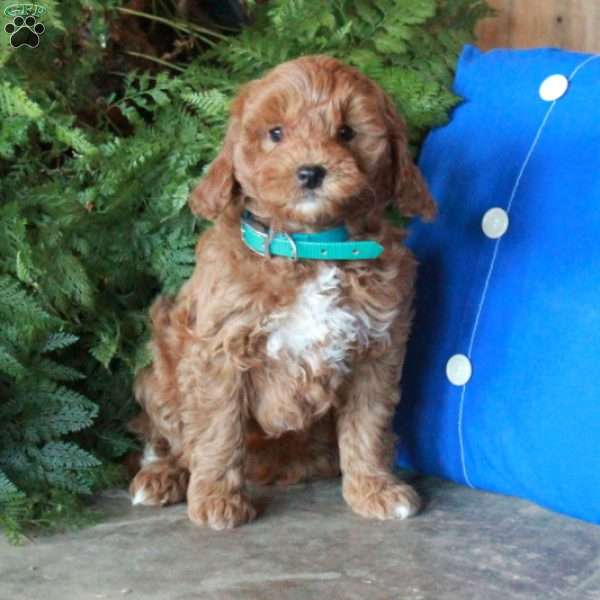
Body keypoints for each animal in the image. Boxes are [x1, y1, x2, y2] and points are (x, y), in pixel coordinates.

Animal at [129, 54, 434, 528]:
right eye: (276, 133)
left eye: (346, 133)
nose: (310, 171)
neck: (309, 248)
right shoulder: (218, 349)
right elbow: (218, 429)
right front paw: (217, 500)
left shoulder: (377, 349)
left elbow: (369, 423)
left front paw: (374, 488)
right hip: (161, 363)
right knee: (172, 438)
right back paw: (164, 476)